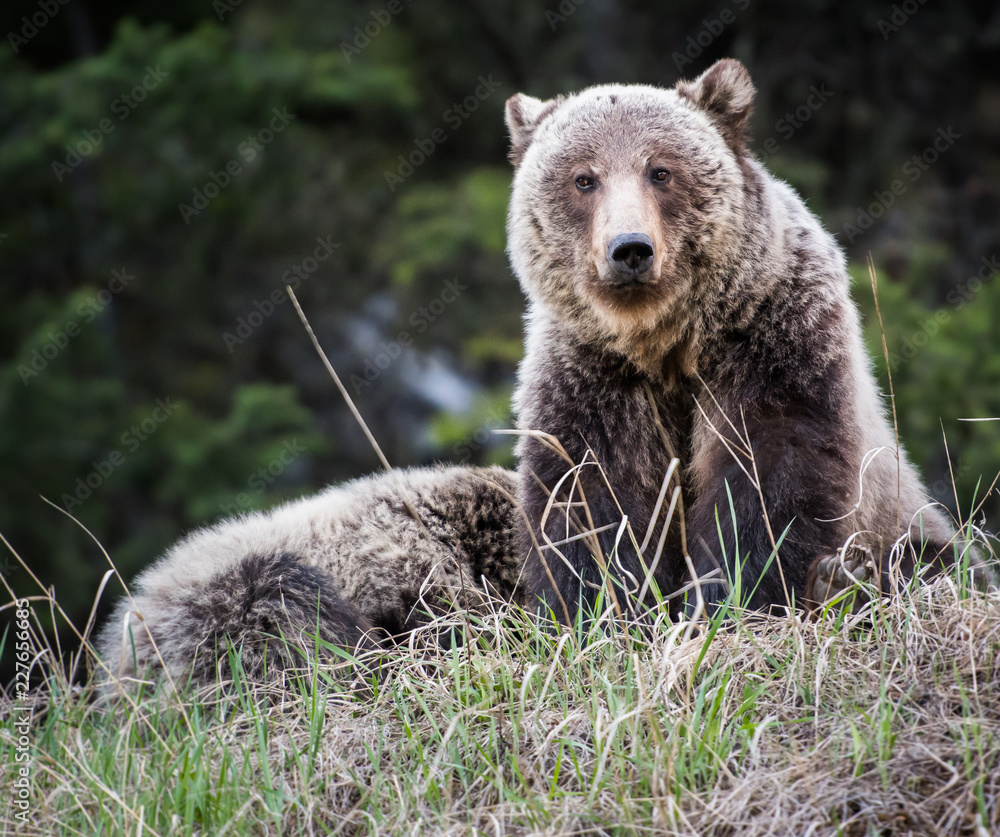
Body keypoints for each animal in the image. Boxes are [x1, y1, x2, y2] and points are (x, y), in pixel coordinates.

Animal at [504, 59, 961, 624]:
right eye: (584, 178)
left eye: (660, 171)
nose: (630, 249)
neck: (664, 341)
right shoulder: (590, 374)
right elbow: (589, 494)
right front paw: (598, 606)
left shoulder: (771, 336)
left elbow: (766, 469)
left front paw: (731, 596)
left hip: (904, 516)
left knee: (927, 562)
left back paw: (841, 580)